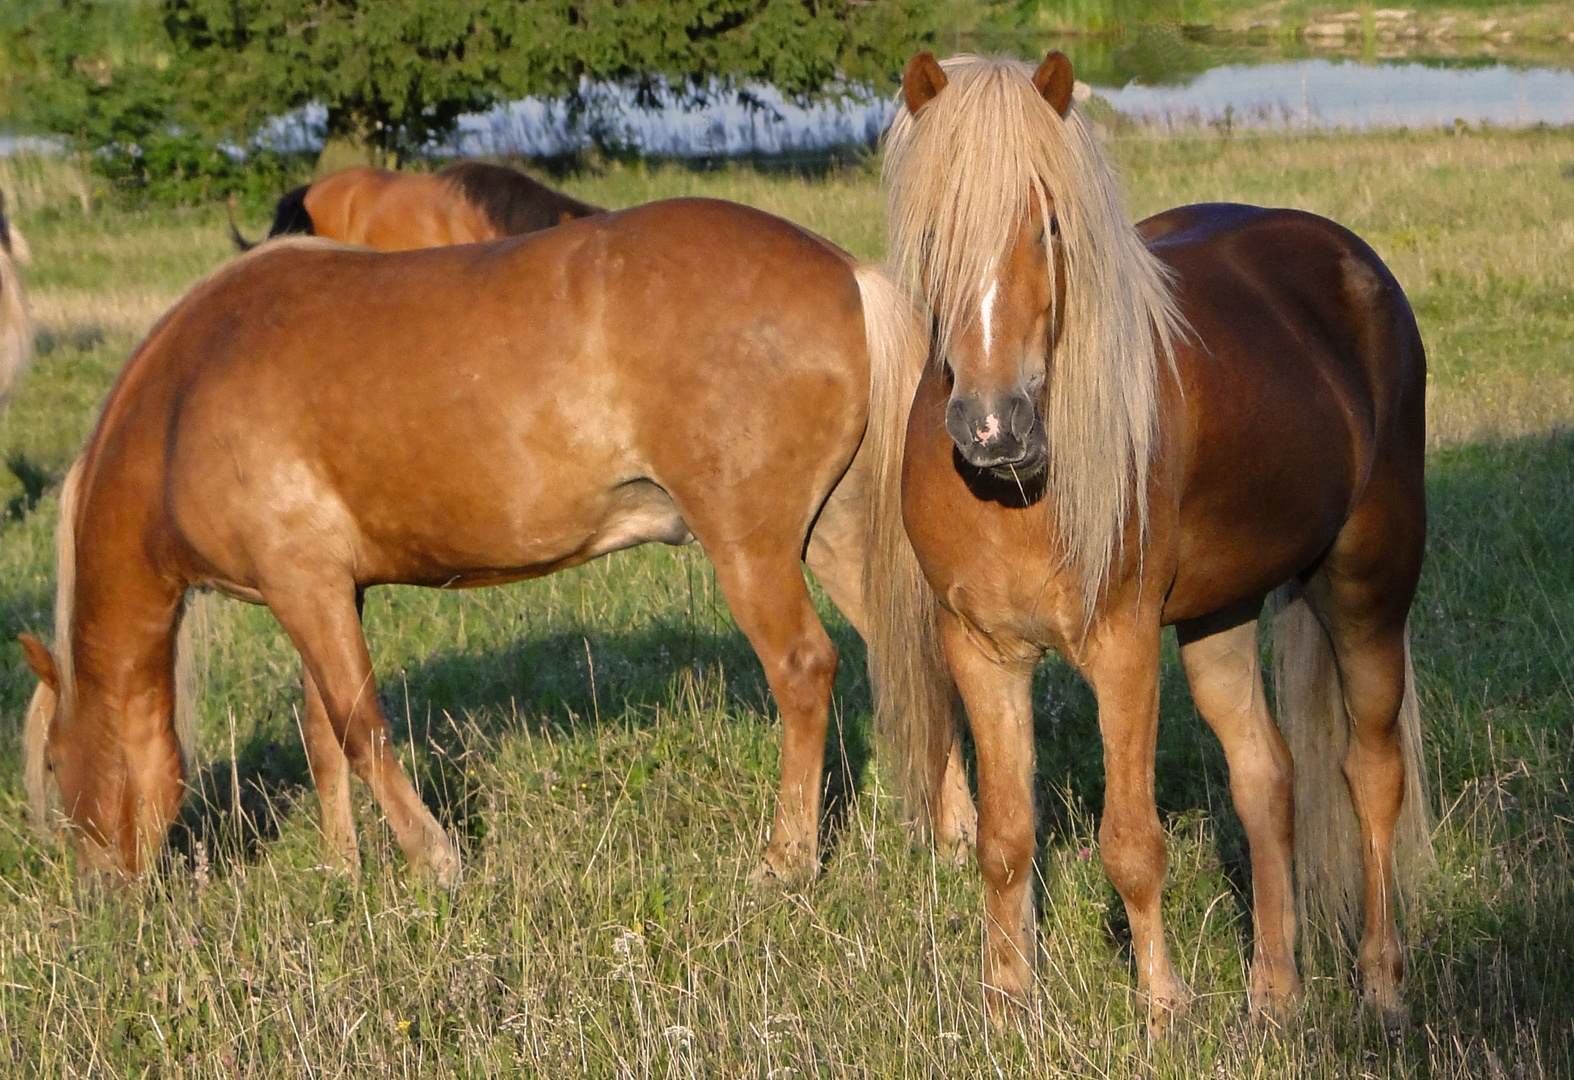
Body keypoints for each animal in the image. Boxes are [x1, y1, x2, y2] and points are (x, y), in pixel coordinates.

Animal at [21, 199, 931, 894]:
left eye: (54, 769)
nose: (100, 899)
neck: (187, 397)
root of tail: (845, 274)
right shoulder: (321, 590)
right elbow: (324, 733)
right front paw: (342, 870)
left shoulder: (304, 585)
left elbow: (360, 726)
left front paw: (432, 860)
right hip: (835, 539)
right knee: (909, 650)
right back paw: (948, 835)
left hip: (751, 549)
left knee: (804, 672)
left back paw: (787, 862)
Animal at [868, 55, 1435, 1039]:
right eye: (936, 229)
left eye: (1051, 224)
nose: (991, 426)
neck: (1021, 495)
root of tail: (1357, 266)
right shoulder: (981, 651)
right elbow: (1004, 840)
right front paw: (1006, 1004)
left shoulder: (1123, 649)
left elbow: (1131, 844)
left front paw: (1163, 1007)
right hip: (1219, 618)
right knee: (1268, 780)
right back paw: (1274, 995)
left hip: (1368, 588)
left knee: (1370, 776)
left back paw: (1381, 984)